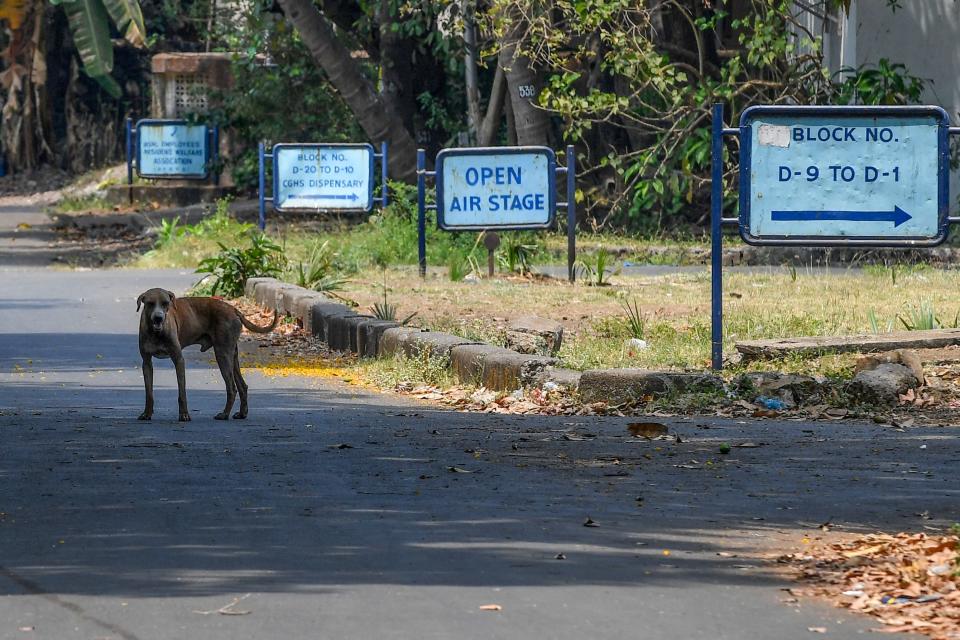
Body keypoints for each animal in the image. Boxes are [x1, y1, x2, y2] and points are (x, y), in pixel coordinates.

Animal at [136, 288, 278, 420]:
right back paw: (242, 413)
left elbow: (182, 393)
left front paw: (184, 414)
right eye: (150, 303)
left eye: (165, 303)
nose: (158, 318)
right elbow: (149, 393)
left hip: (222, 354)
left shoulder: (178, 360)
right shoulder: (146, 363)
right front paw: (147, 413)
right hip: (232, 356)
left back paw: (225, 414)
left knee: (232, 388)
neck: (156, 333)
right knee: (242, 386)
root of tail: (233, 309)